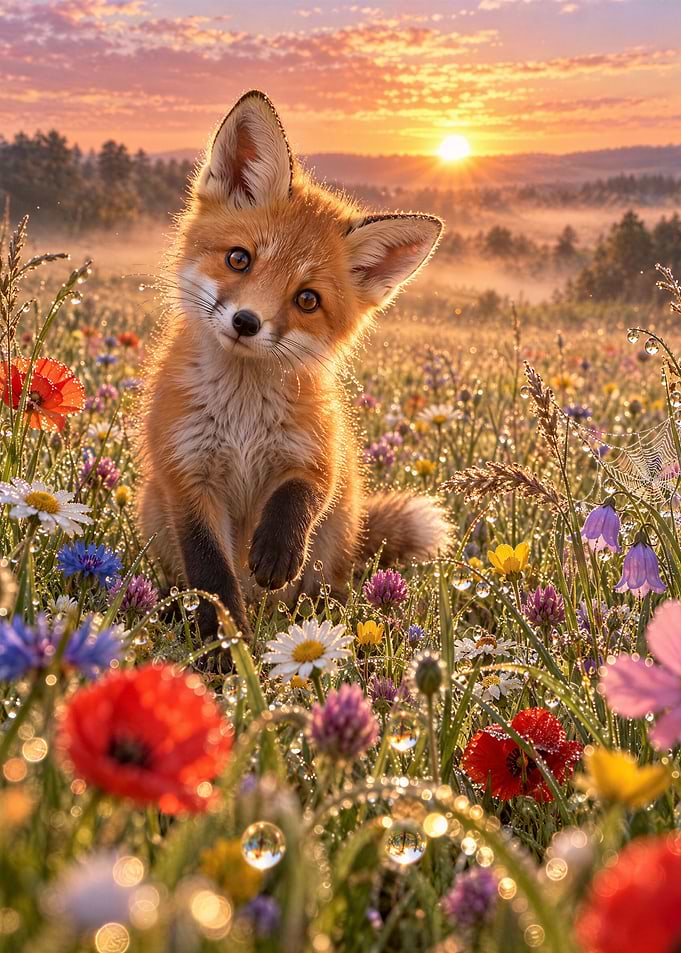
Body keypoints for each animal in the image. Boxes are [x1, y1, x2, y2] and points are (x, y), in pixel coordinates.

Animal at [138, 89, 450, 642]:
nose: (246, 322)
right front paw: (223, 646)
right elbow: (212, 574)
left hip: (336, 539)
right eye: (239, 259)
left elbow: (302, 494)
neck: (241, 419)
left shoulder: (319, 449)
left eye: (307, 299)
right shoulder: (185, 473)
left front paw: (277, 551)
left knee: (324, 586)